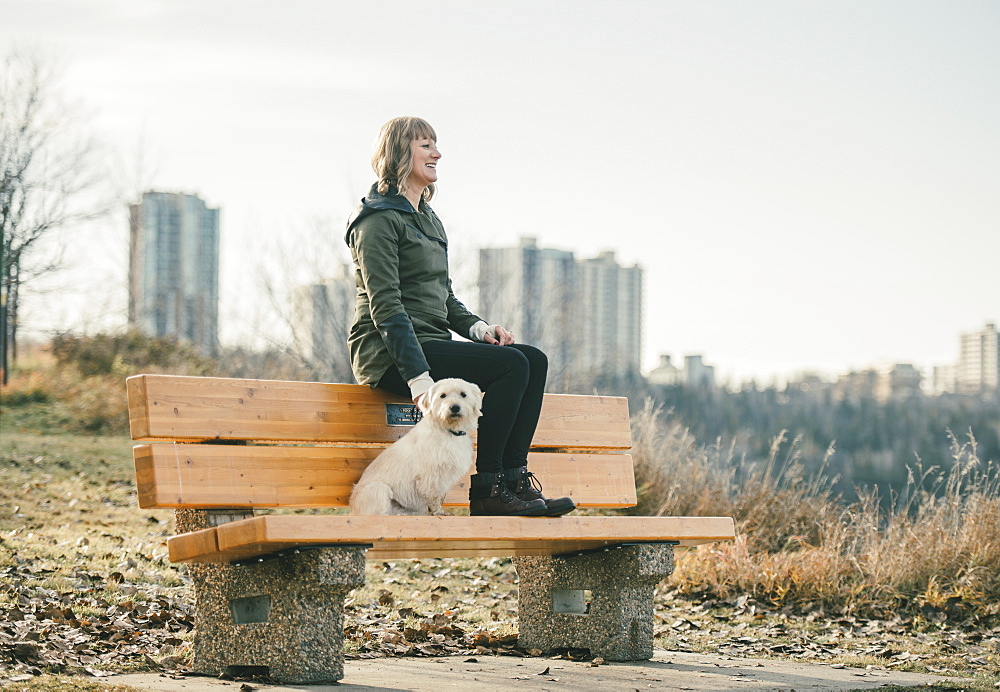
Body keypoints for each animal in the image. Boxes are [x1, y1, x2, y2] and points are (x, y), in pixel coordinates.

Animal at [350, 378, 482, 512]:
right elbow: (434, 497)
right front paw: (438, 512)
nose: (454, 407)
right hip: (378, 489)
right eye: (442, 395)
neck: (448, 431)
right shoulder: (430, 476)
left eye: (463, 394)